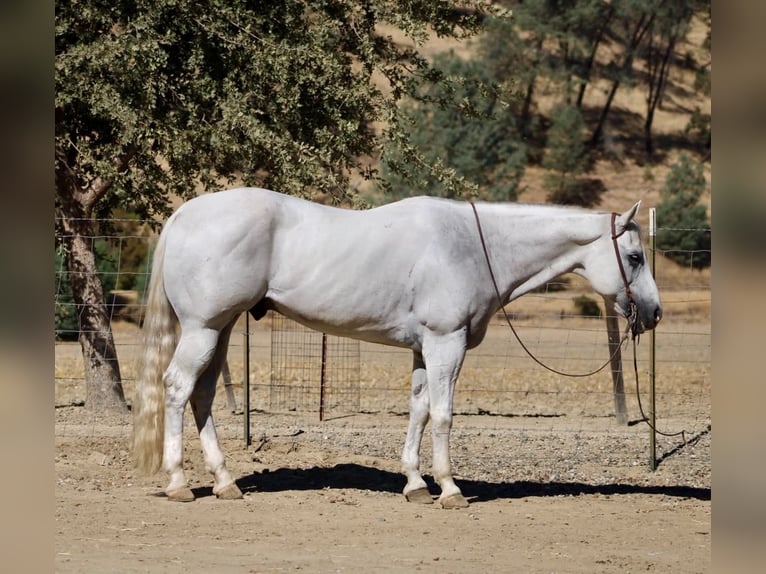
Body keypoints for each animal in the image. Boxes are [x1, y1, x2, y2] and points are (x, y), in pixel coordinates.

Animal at [132, 187, 662, 508]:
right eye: (634, 257)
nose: (654, 313)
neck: (473, 245)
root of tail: (185, 213)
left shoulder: (424, 349)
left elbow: (419, 411)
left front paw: (415, 485)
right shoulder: (447, 343)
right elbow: (444, 415)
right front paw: (449, 489)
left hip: (219, 330)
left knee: (202, 395)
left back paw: (226, 483)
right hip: (202, 329)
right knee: (177, 389)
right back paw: (179, 483)